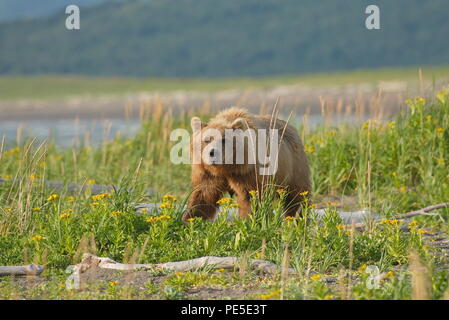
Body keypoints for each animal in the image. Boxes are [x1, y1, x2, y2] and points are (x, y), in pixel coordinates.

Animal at [180, 109, 310, 221]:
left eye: (224, 139)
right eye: (207, 139)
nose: (212, 153)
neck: (227, 168)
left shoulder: (248, 174)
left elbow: (250, 198)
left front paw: (249, 220)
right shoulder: (209, 174)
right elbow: (203, 196)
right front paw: (188, 219)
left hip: (294, 168)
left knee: (297, 196)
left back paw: (297, 218)